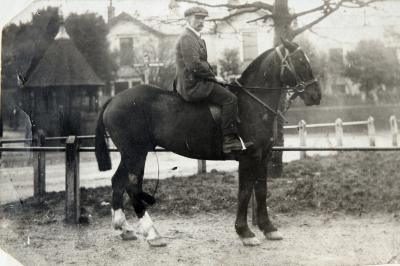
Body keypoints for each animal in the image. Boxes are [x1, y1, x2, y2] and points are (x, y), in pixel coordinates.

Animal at [94, 39, 322, 247]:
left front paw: (268, 228)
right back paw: (152, 234)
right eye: (300, 61)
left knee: (118, 182)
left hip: (133, 154)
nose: (316, 96)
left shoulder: (263, 157)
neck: (252, 102)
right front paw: (245, 232)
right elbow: (245, 192)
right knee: (131, 186)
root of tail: (114, 99)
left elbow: (261, 190)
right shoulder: (249, 158)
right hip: (135, 153)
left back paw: (124, 229)